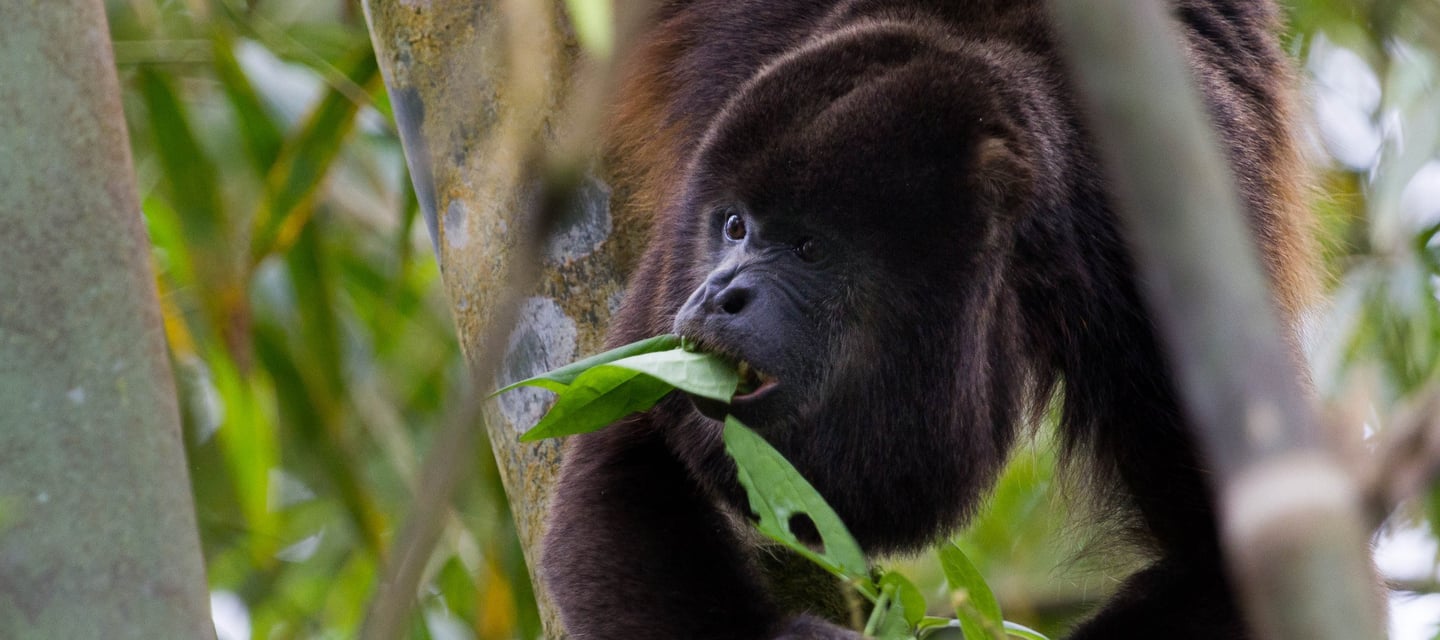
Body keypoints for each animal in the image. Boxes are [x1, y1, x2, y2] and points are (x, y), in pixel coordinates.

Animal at [539, 1, 1320, 638]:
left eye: (810, 247)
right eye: (735, 226)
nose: (719, 293)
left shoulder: (1153, 281)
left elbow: (1232, 564)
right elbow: (624, 455)